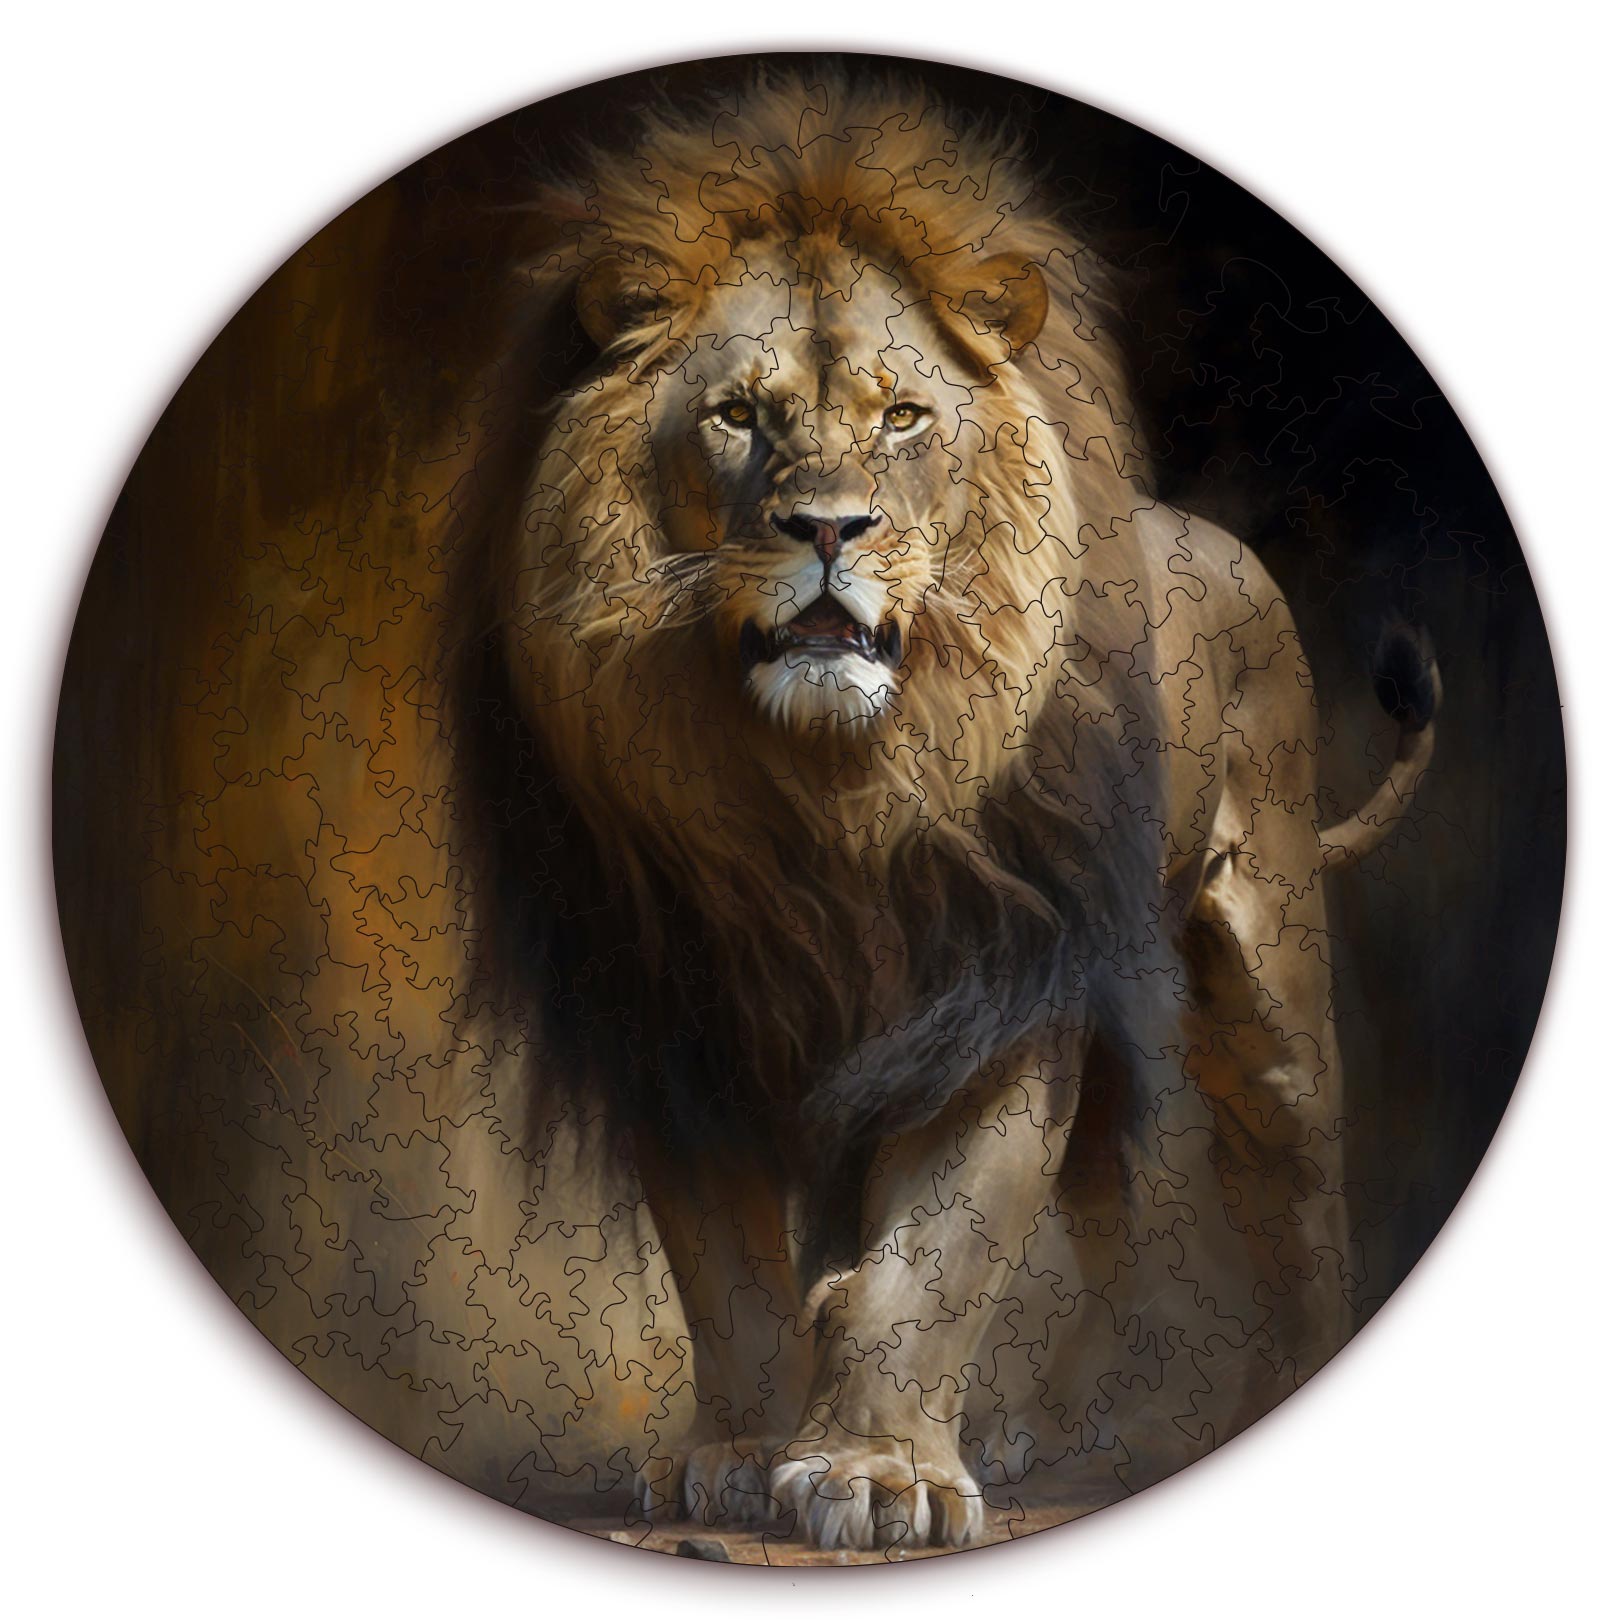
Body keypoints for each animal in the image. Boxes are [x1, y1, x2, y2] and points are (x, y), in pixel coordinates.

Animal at [455, 73, 1439, 1551]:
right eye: (738, 417)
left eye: (905, 417)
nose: (829, 529)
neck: (827, 788)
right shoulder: (677, 999)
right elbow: (725, 1262)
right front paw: (742, 1449)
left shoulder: (999, 974)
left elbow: (944, 1246)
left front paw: (878, 1471)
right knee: (1108, 1214)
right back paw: (1053, 1423)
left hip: (1267, 975)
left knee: (1297, 1188)